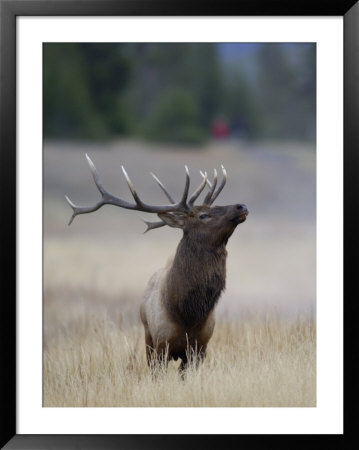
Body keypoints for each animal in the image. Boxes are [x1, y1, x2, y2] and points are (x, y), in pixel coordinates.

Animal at [66, 156, 249, 372]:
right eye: (203, 215)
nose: (241, 206)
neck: (188, 314)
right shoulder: (161, 344)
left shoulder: (201, 347)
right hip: (147, 337)